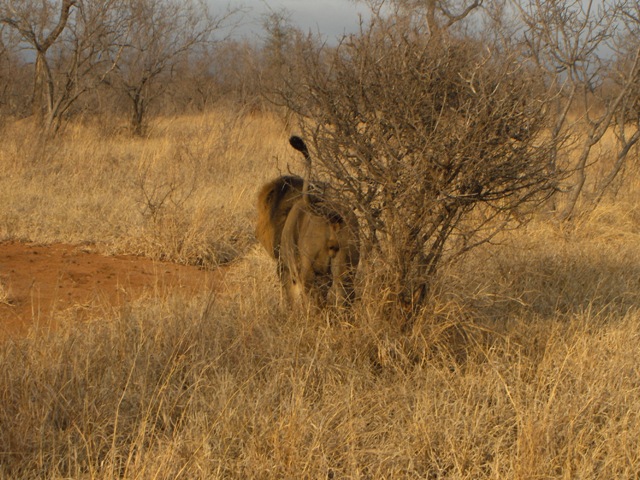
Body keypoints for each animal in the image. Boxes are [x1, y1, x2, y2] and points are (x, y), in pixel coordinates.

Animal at [256, 135, 360, 308]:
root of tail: (332, 215)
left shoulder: (285, 269)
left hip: (311, 272)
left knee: (316, 301)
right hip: (347, 267)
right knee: (345, 296)